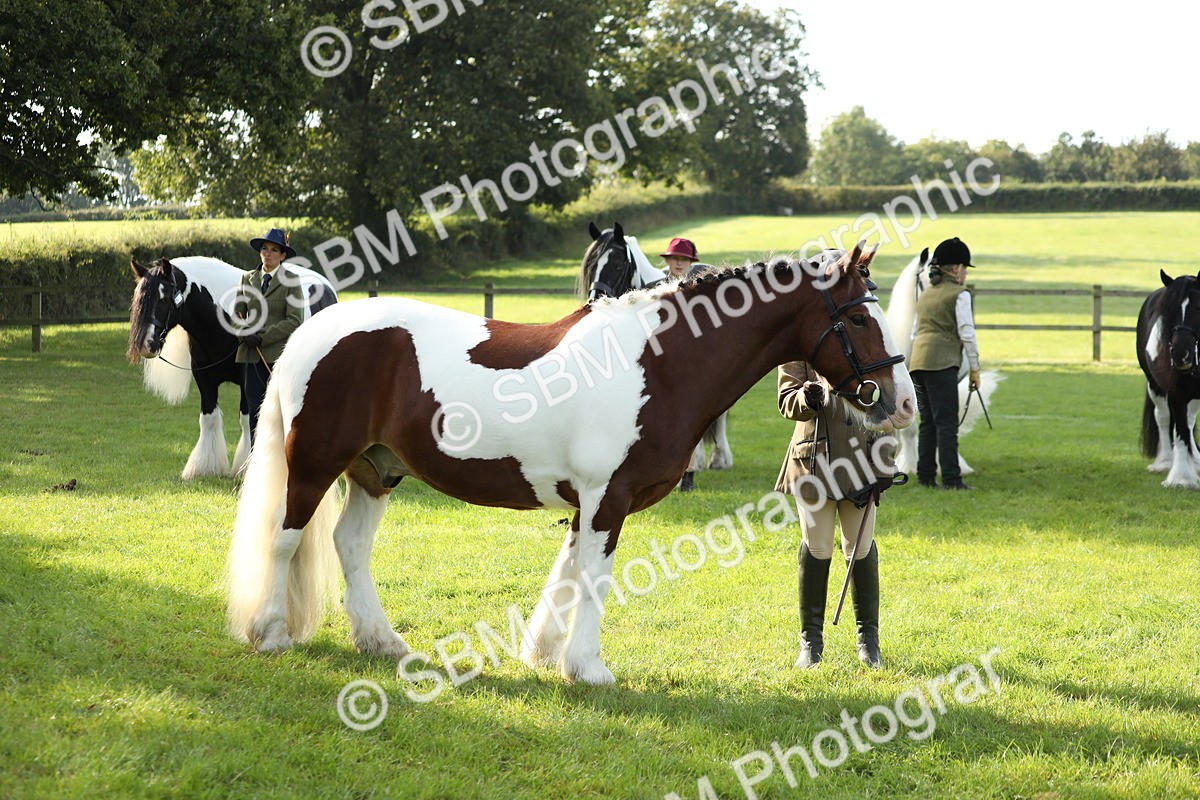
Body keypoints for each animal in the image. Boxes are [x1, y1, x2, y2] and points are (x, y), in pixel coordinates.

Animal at [127, 256, 336, 479]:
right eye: (139, 299)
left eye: (163, 299)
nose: (146, 344)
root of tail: (324, 285)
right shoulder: (204, 378)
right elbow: (208, 419)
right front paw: (203, 468)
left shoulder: (247, 380)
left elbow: (247, 420)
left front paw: (244, 468)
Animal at [1137, 269, 1200, 488]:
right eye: (1171, 310)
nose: (1181, 354)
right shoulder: (1175, 393)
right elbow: (1179, 431)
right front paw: (1181, 478)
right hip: (1155, 386)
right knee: (1164, 418)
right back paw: (1165, 462)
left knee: (1189, 421)